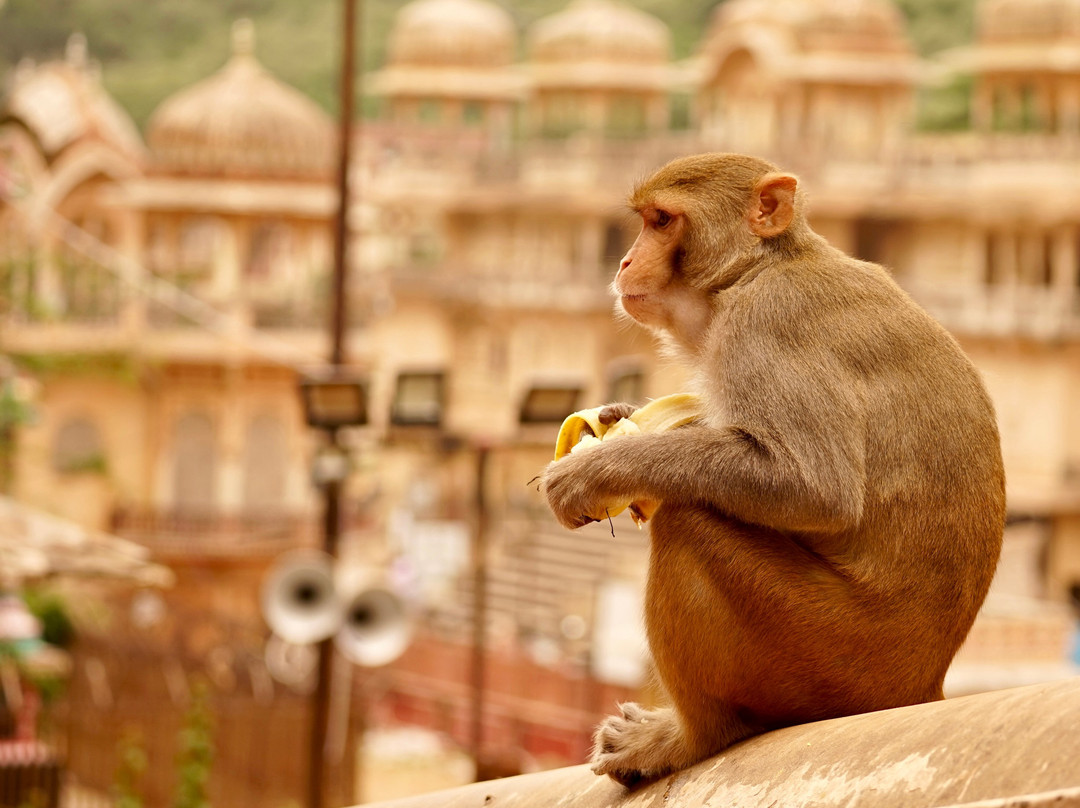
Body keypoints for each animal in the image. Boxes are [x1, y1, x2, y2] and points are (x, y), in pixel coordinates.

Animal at [541, 153, 1005, 787]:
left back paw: (690, 737)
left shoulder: (768, 323)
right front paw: (620, 417)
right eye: (645, 222)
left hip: (824, 653)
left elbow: (813, 487)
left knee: (689, 522)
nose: (626, 260)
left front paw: (601, 469)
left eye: (662, 221)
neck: (759, 268)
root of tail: (921, 682)